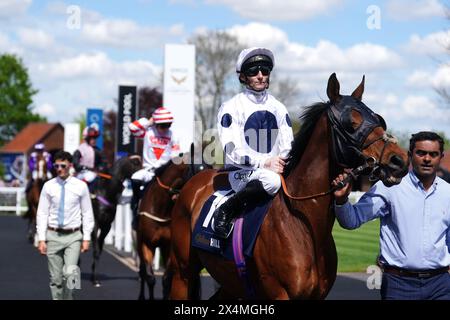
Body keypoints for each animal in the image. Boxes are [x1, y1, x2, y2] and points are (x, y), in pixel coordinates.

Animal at [89, 154, 142, 286]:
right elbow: (95, 249)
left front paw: (94, 278)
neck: (106, 191)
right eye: (137, 164)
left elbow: (99, 250)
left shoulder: (106, 225)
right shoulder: (95, 223)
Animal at [137, 150, 211, 300]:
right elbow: (150, 278)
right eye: (198, 170)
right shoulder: (146, 244)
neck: (161, 208)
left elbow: (166, 280)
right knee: (142, 271)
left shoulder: (170, 246)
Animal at [169, 73, 412, 300]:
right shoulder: (281, 294)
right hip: (183, 272)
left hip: (230, 280)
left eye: (377, 118)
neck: (305, 225)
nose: (399, 160)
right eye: (351, 122)